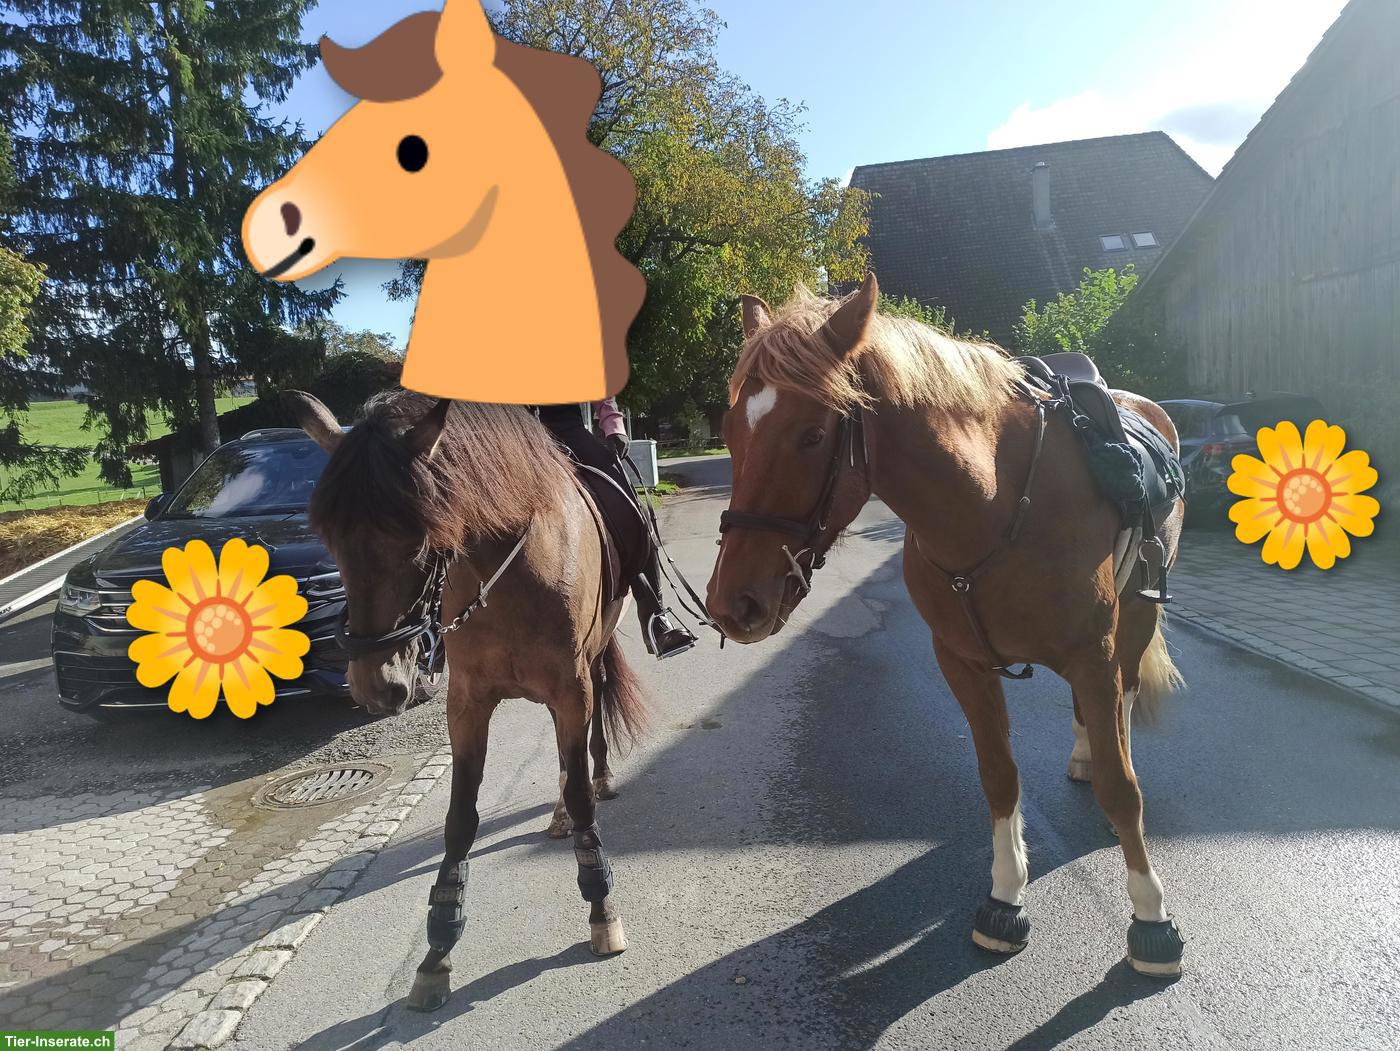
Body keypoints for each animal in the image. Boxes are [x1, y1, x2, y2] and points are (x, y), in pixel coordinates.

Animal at [286, 389, 647, 1011]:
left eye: (420, 542)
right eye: (331, 539)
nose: (375, 683)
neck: (510, 570)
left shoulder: (570, 687)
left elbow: (581, 794)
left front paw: (601, 905)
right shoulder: (468, 703)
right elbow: (460, 819)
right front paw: (438, 947)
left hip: (594, 656)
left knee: (593, 725)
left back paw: (597, 779)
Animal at [706, 274, 1188, 977]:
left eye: (812, 436)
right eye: (730, 431)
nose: (731, 604)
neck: (993, 504)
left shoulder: (1092, 653)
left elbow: (1121, 788)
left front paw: (1150, 918)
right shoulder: (962, 664)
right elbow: (1000, 778)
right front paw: (1006, 898)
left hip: (1138, 615)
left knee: (1125, 694)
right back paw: (1081, 752)